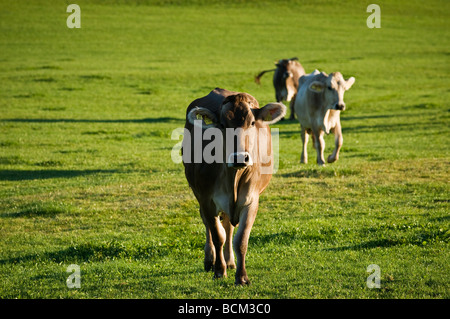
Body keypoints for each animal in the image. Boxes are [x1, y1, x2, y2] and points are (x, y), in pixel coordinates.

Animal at [182, 87, 284, 284]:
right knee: (210, 226)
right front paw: (219, 270)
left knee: (229, 227)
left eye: (252, 123)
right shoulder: (207, 200)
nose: (239, 158)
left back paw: (230, 261)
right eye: (222, 124)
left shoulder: (251, 200)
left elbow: (241, 239)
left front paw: (242, 277)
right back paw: (210, 260)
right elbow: (217, 235)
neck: (233, 178)